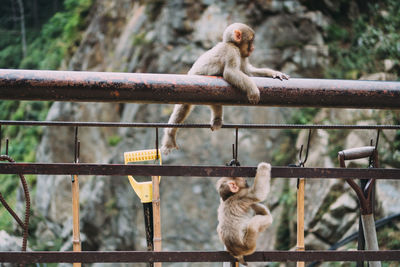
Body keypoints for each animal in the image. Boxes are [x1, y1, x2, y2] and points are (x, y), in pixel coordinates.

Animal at [161, 23, 290, 155]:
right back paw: (170, 135)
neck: (232, 44)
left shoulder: (242, 55)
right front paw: (253, 90)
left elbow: (249, 71)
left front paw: (275, 73)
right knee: (183, 108)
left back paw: (217, 120)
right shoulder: (232, 51)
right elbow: (230, 72)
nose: (253, 48)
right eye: (251, 41)